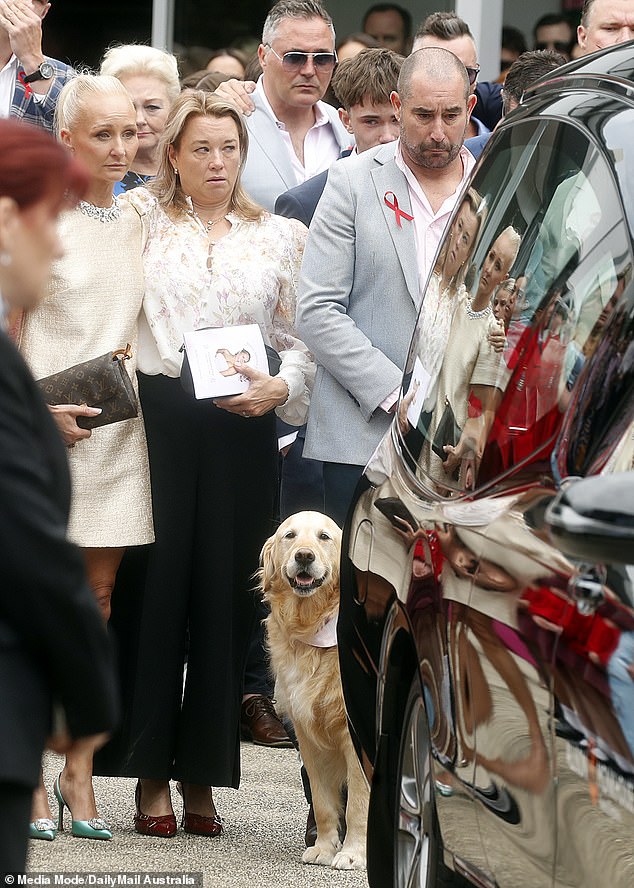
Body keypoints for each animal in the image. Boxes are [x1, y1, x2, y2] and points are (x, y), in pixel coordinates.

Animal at [256, 512, 366, 868]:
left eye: (324, 537)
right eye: (290, 536)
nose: (304, 556)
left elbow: (358, 803)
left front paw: (353, 853)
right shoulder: (308, 736)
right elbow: (322, 802)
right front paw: (324, 847)